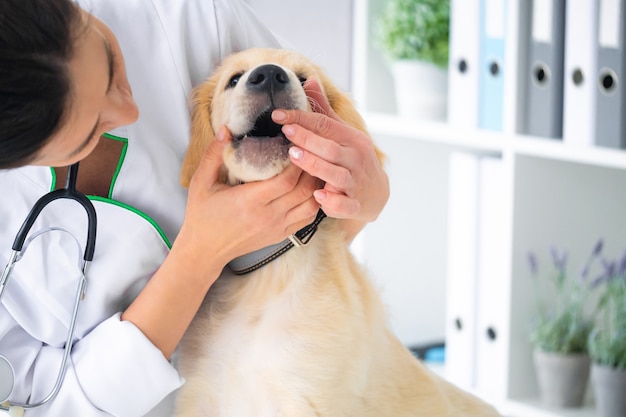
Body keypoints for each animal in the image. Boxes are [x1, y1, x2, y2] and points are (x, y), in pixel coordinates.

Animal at [173, 49, 500, 416]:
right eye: (233, 80)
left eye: (304, 79)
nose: (269, 74)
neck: (267, 274)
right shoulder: (200, 396)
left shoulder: (306, 396)